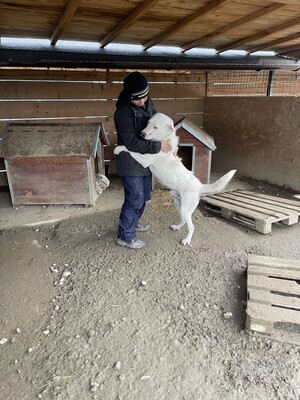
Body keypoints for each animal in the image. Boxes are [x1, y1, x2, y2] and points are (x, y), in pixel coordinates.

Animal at [113, 111, 236, 245]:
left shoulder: (145, 160)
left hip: (186, 209)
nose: (142, 134)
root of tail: (199, 185)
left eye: (155, 127)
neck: (163, 139)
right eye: (148, 123)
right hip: (178, 204)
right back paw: (177, 227)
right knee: (183, 220)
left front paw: (118, 148)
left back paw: (187, 240)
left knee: (192, 226)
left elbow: (130, 149)